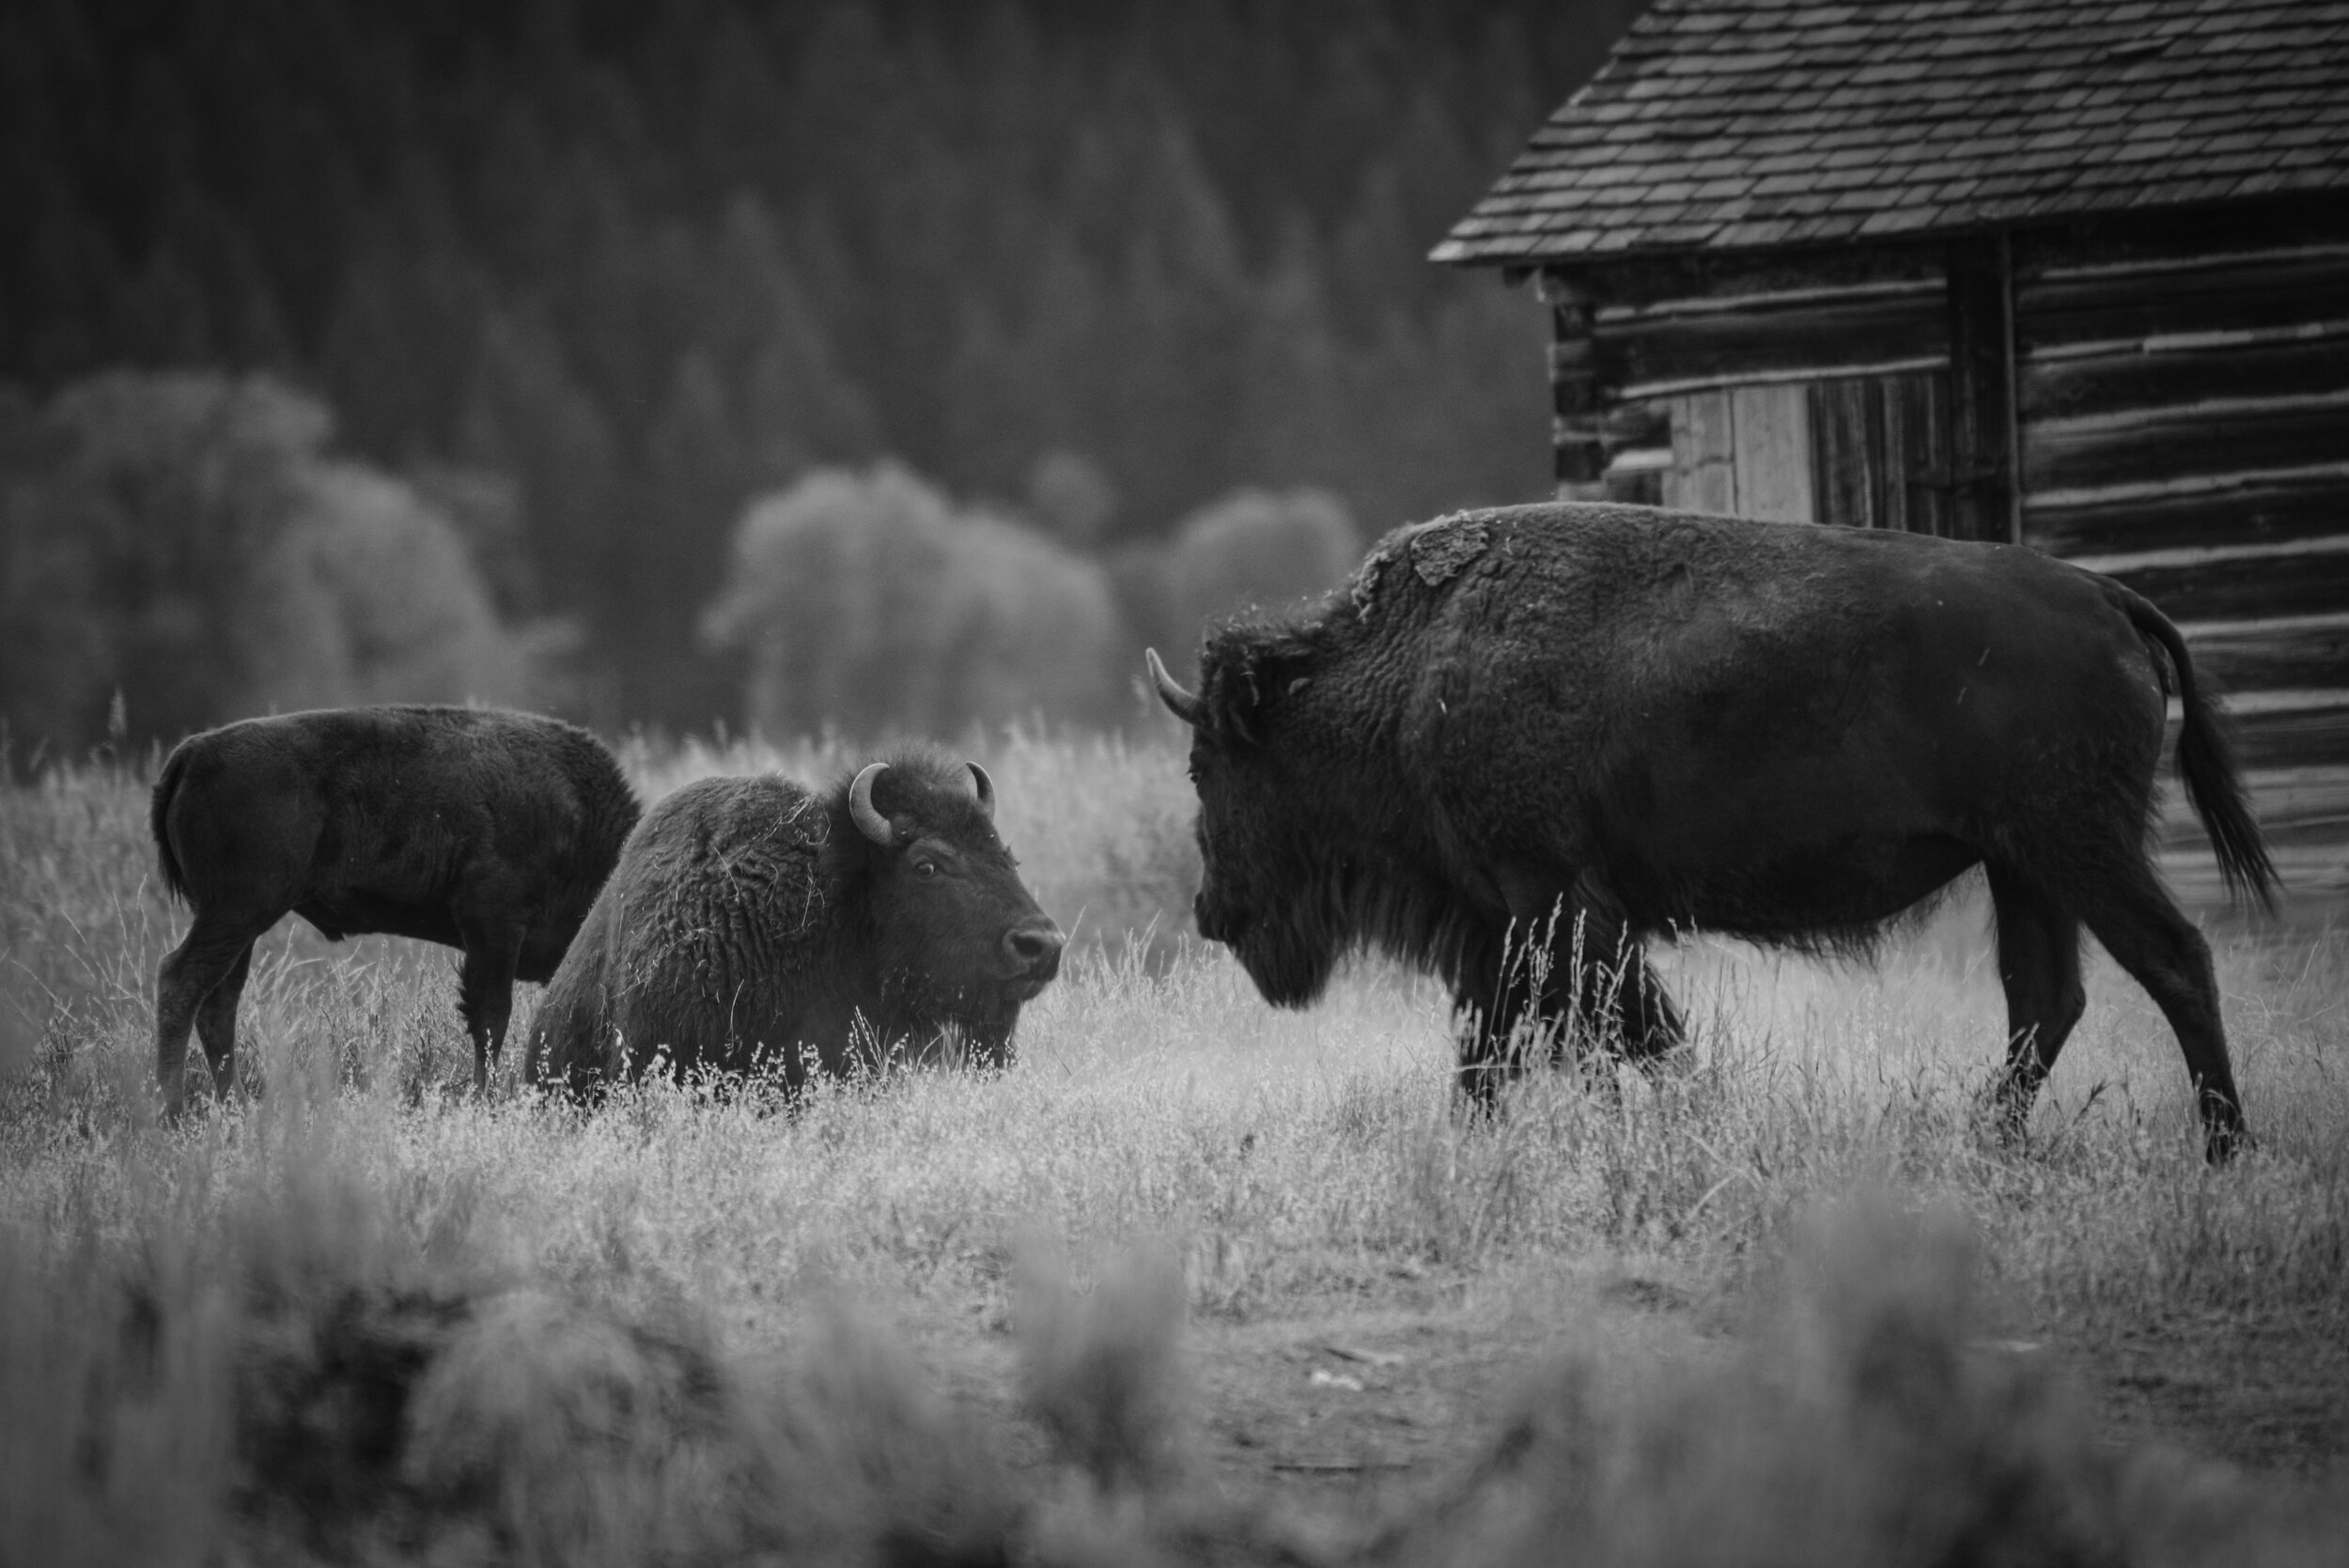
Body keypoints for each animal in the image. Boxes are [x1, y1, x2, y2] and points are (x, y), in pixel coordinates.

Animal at [151, 706, 642, 1115]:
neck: (577, 814)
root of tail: (191, 754)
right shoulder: (494, 924)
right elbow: (491, 1019)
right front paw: (484, 1100)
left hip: (239, 923)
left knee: (218, 1003)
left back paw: (236, 1107)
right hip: (237, 911)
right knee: (181, 980)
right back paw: (172, 1113)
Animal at [1147, 501, 2278, 1162]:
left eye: (1209, 766)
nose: (1211, 912)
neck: (1410, 671)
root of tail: (2106, 595)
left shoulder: (1558, 905)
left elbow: (1630, 1036)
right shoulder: (1507, 922)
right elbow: (1494, 1047)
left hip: (2079, 849)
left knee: (2173, 960)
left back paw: (2224, 1149)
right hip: (2024, 866)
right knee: (2046, 997)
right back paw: (1983, 1140)